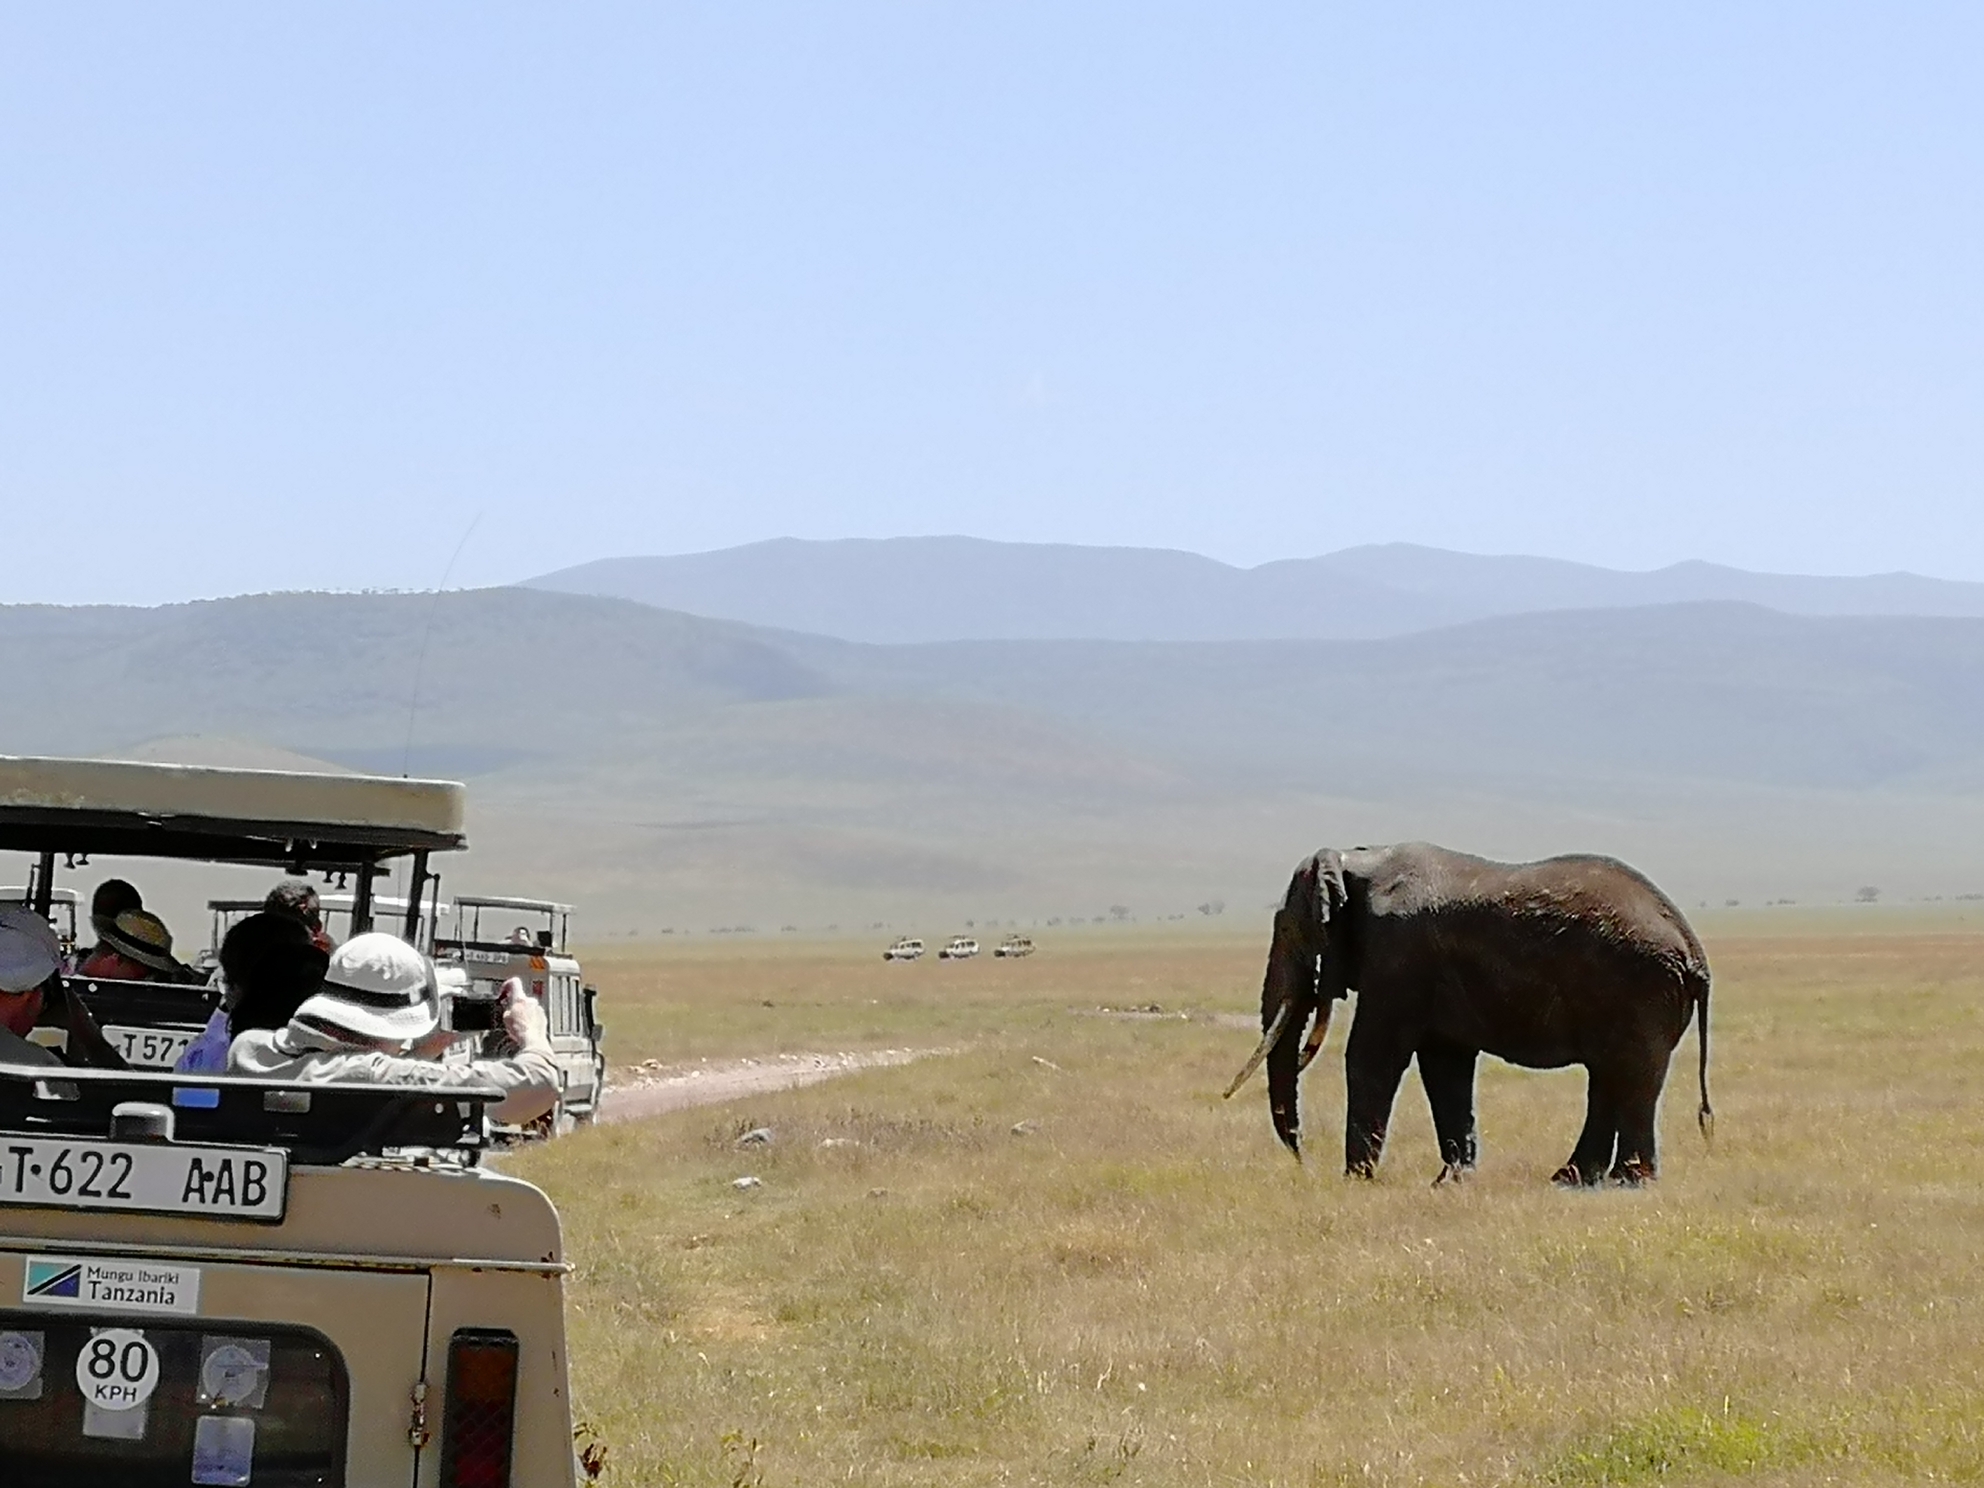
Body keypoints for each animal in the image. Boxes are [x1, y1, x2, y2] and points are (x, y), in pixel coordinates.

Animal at [1222, 849, 1706, 1190]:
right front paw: (1451, 1182)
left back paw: (1626, 1182)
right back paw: (1571, 1179)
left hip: (1640, 989)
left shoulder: (1399, 957)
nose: (1302, 1160)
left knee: (1632, 1077)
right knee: (1609, 1077)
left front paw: (1356, 1180)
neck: (1356, 860)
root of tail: (1694, 950)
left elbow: (1373, 1055)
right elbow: (1445, 1065)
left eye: (1289, 931)